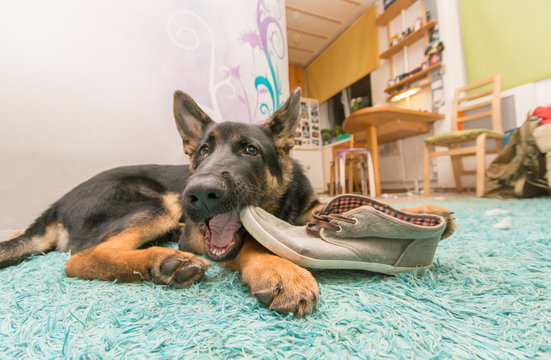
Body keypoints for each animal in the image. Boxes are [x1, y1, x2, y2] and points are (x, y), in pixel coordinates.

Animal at [1, 88, 324, 316]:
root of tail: (57, 204)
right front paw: (279, 269)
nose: (198, 193)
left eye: (251, 150)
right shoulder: (195, 233)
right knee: (80, 258)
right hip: (160, 204)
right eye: (204, 150)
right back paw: (164, 260)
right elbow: (250, 245)